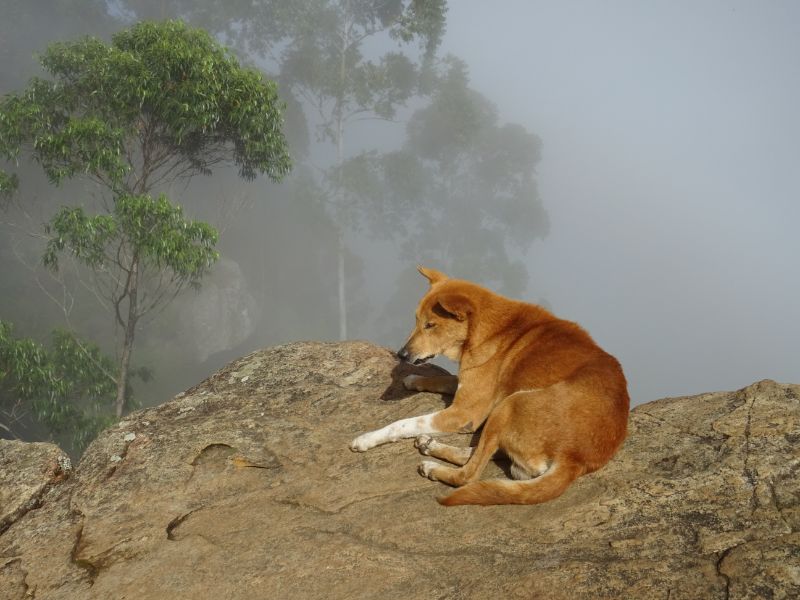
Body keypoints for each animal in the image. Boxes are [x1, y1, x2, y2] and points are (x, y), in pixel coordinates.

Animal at [352, 268, 632, 506]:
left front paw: (367, 438)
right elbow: (446, 379)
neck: (486, 330)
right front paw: (413, 379)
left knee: (469, 474)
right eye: (416, 320)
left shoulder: (464, 414)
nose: (401, 354)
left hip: (509, 404)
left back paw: (433, 466)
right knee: (481, 453)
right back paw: (431, 445)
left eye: (430, 325)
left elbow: (402, 424)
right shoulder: (468, 389)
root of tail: (576, 459)